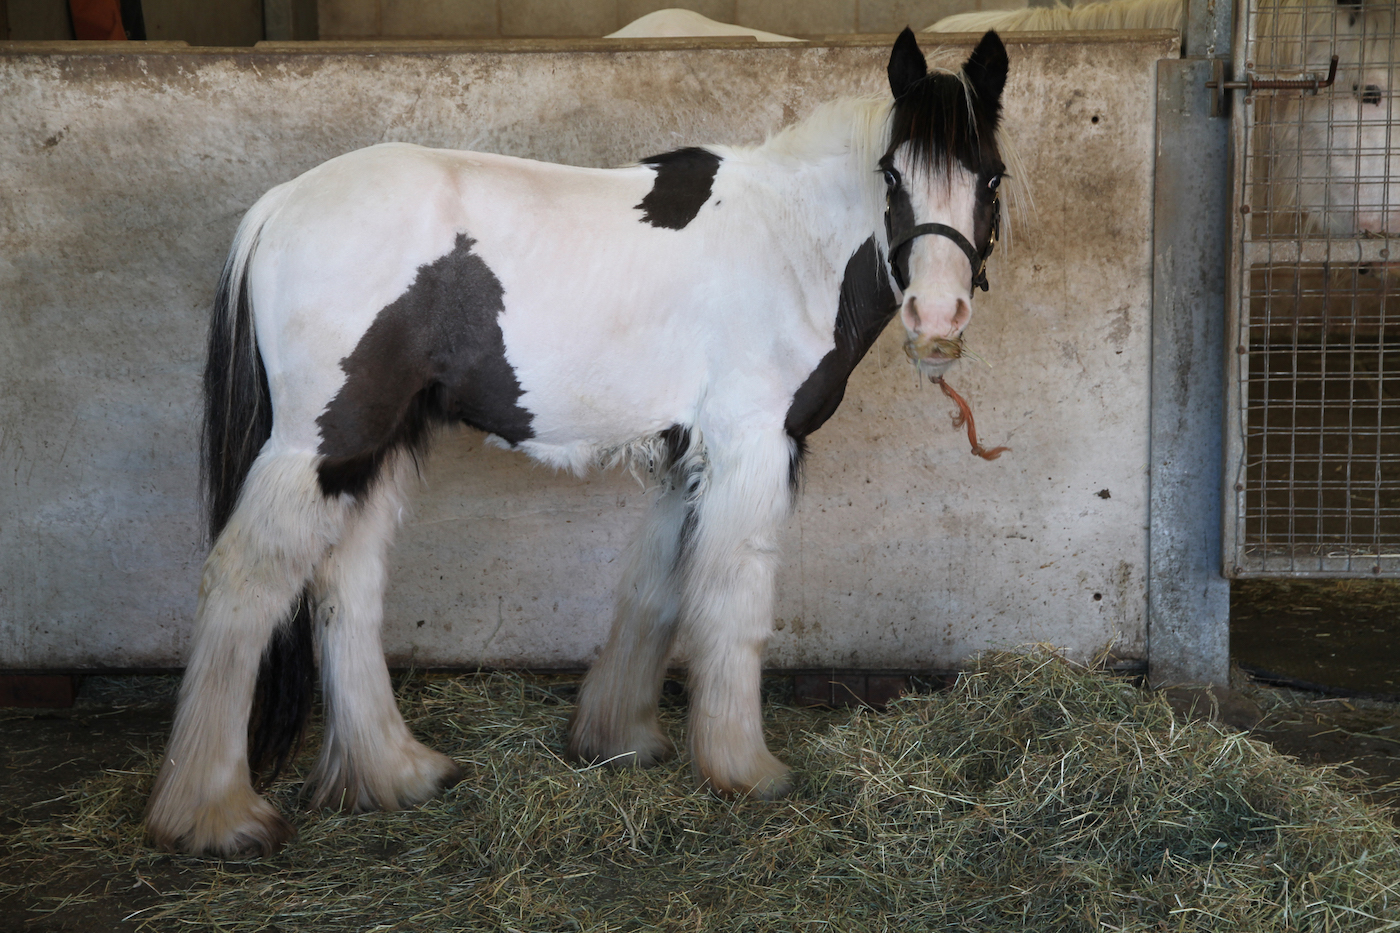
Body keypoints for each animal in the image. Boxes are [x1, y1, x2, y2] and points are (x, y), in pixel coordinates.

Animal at [143, 28, 1013, 858]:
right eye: (892, 176)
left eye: (992, 178)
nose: (938, 321)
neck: (788, 240)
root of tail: (282, 201)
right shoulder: (751, 447)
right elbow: (733, 605)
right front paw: (743, 766)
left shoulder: (686, 458)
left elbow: (657, 590)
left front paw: (616, 737)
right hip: (324, 443)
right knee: (244, 582)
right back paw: (213, 812)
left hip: (375, 445)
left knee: (344, 586)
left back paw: (395, 771)